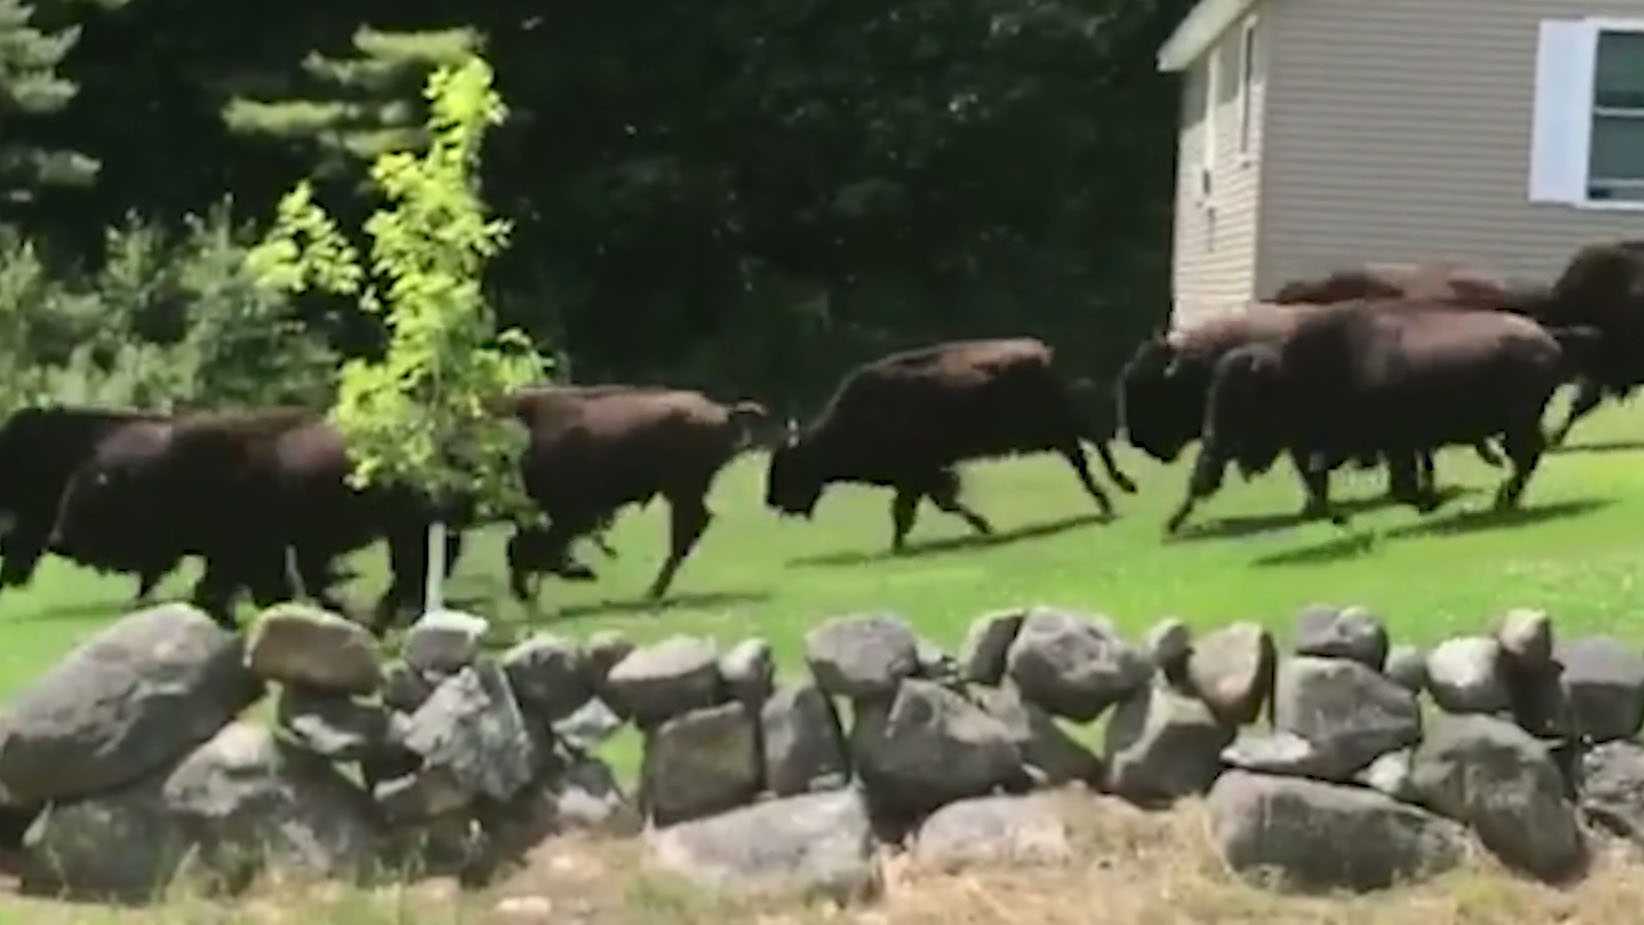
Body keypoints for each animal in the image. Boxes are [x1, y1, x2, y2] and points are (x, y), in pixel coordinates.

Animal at [503, 385, 768, 602]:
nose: (520, 592)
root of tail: (722, 412)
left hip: (682, 490)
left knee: (688, 527)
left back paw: (653, 592)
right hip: (682, 491)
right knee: (692, 526)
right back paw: (654, 590)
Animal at [766, 337, 1129, 549]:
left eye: (787, 466)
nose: (770, 500)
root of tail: (1042, 354)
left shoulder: (921, 474)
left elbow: (926, 505)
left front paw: (982, 527)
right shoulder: (915, 480)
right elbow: (922, 507)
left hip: (1052, 428)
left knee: (1091, 446)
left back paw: (1118, 491)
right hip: (1050, 433)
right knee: (1085, 451)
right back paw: (1110, 498)